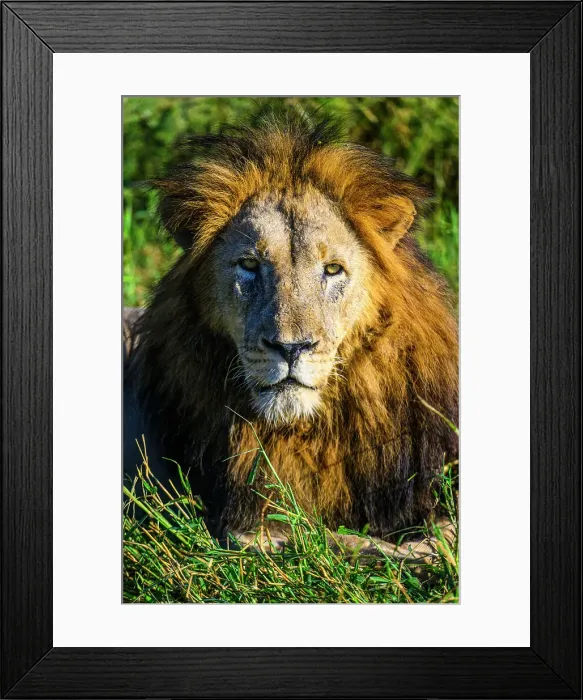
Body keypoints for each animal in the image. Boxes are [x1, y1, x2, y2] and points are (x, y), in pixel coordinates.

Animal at [124, 112, 458, 559]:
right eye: (250, 265)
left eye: (332, 269)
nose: (291, 348)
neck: (309, 432)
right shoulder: (241, 523)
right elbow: (320, 540)